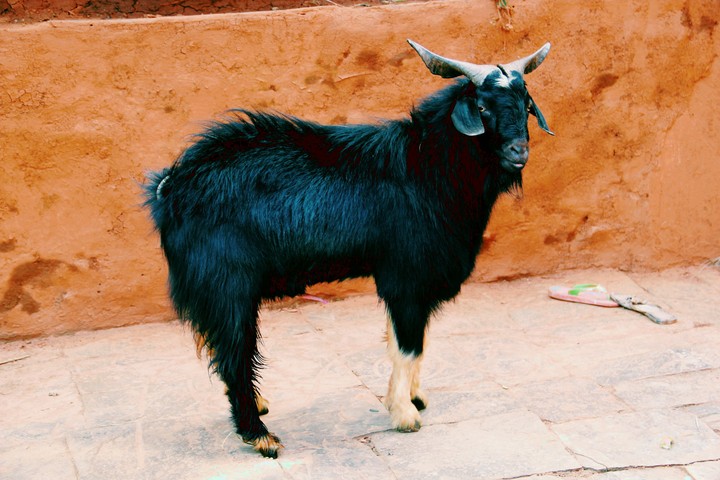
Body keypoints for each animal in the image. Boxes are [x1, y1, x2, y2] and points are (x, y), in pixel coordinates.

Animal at [144, 40, 552, 458]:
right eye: (482, 107)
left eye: (525, 102)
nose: (519, 152)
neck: (425, 167)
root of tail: (170, 186)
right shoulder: (406, 277)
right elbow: (408, 345)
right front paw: (405, 414)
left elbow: (409, 342)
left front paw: (412, 397)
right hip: (228, 284)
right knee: (233, 353)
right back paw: (259, 434)